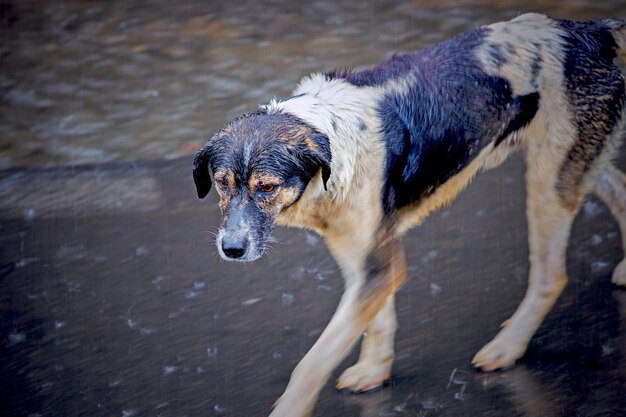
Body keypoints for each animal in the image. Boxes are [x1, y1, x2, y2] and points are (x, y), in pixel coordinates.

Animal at [191, 13, 624, 416]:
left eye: (266, 187)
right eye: (222, 183)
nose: (231, 249)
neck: (333, 144)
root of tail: (590, 31)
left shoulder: (377, 265)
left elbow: (314, 361)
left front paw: (292, 407)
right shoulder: (368, 261)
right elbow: (377, 321)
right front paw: (374, 370)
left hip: (550, 179)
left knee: (552, 276)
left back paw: (507, 346)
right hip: (577, 165)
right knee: (618, 186)